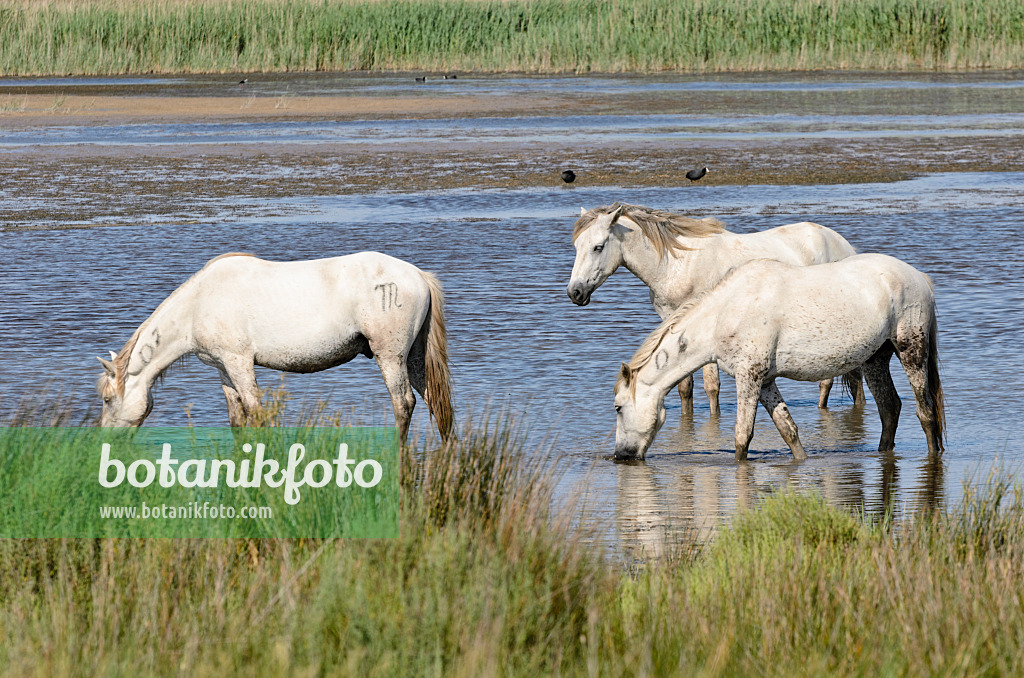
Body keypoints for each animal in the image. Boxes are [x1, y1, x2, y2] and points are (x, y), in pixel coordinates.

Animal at [97, 251, 454, 444]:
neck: (198, 304)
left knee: (403, 403)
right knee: (435, 402)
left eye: (107, 399)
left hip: (390, 357)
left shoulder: (240, 362)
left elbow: (256, 413)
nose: (103, 441)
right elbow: (237, 419)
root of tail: (418, 275)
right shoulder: (224, 367)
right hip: (414, 358)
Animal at [569, 201, 864, 413]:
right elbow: (684, 386)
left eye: (598, 247)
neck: (676, 264)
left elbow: (712, 386)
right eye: (576, 246)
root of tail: (845, 245)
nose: (575, 292)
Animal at [614, 251, 942, 464]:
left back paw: (932, 457)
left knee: (925, 411)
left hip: (911, 350)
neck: (724, 313)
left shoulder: (749, 377)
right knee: (890, 408)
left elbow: (742, 436)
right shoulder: (766, 381)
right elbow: (789, 431)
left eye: (618, 407)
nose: (620, 455)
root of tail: (920, 278)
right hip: (875, 359)